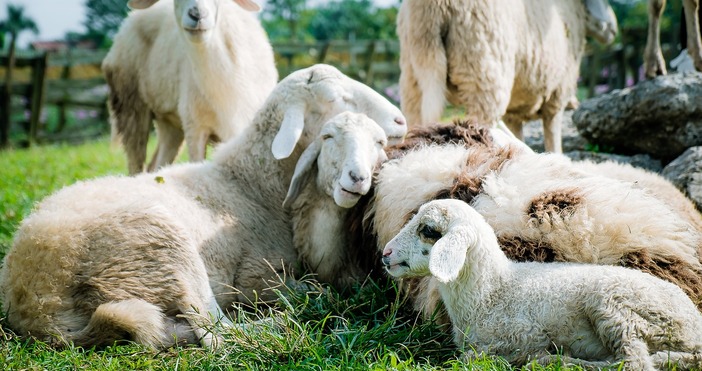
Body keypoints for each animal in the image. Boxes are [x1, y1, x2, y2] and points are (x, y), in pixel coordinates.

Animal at [0, 64, 408, 352]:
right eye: (338, 99)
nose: (401, 120)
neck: (248, 181)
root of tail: (37, 306)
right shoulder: (256, 276)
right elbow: (314, 291)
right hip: (162, 245)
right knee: (216, 333)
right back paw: (282, 326)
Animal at [103, 0, 280, 174]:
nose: (197, 14)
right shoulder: (195, 127)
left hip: (169, 122)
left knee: (157, 164)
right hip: (131, 106)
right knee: (136, 165)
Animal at [382, 201, 702, 371]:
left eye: (428, 230)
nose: (385, 254)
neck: (492, 291)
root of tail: (694, 324)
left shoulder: (521, 335)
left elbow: (477, 356)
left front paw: (536, 357)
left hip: (617, 307)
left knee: (633, 362)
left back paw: (560, 361)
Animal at [398, 0, 620, 153]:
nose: (613, 28)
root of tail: (432, 9)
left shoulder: (515, 111)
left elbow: (519, 134)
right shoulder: (558, 92)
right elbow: (553, 135)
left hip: (414, 73)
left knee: (416, 118)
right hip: (483, 69)